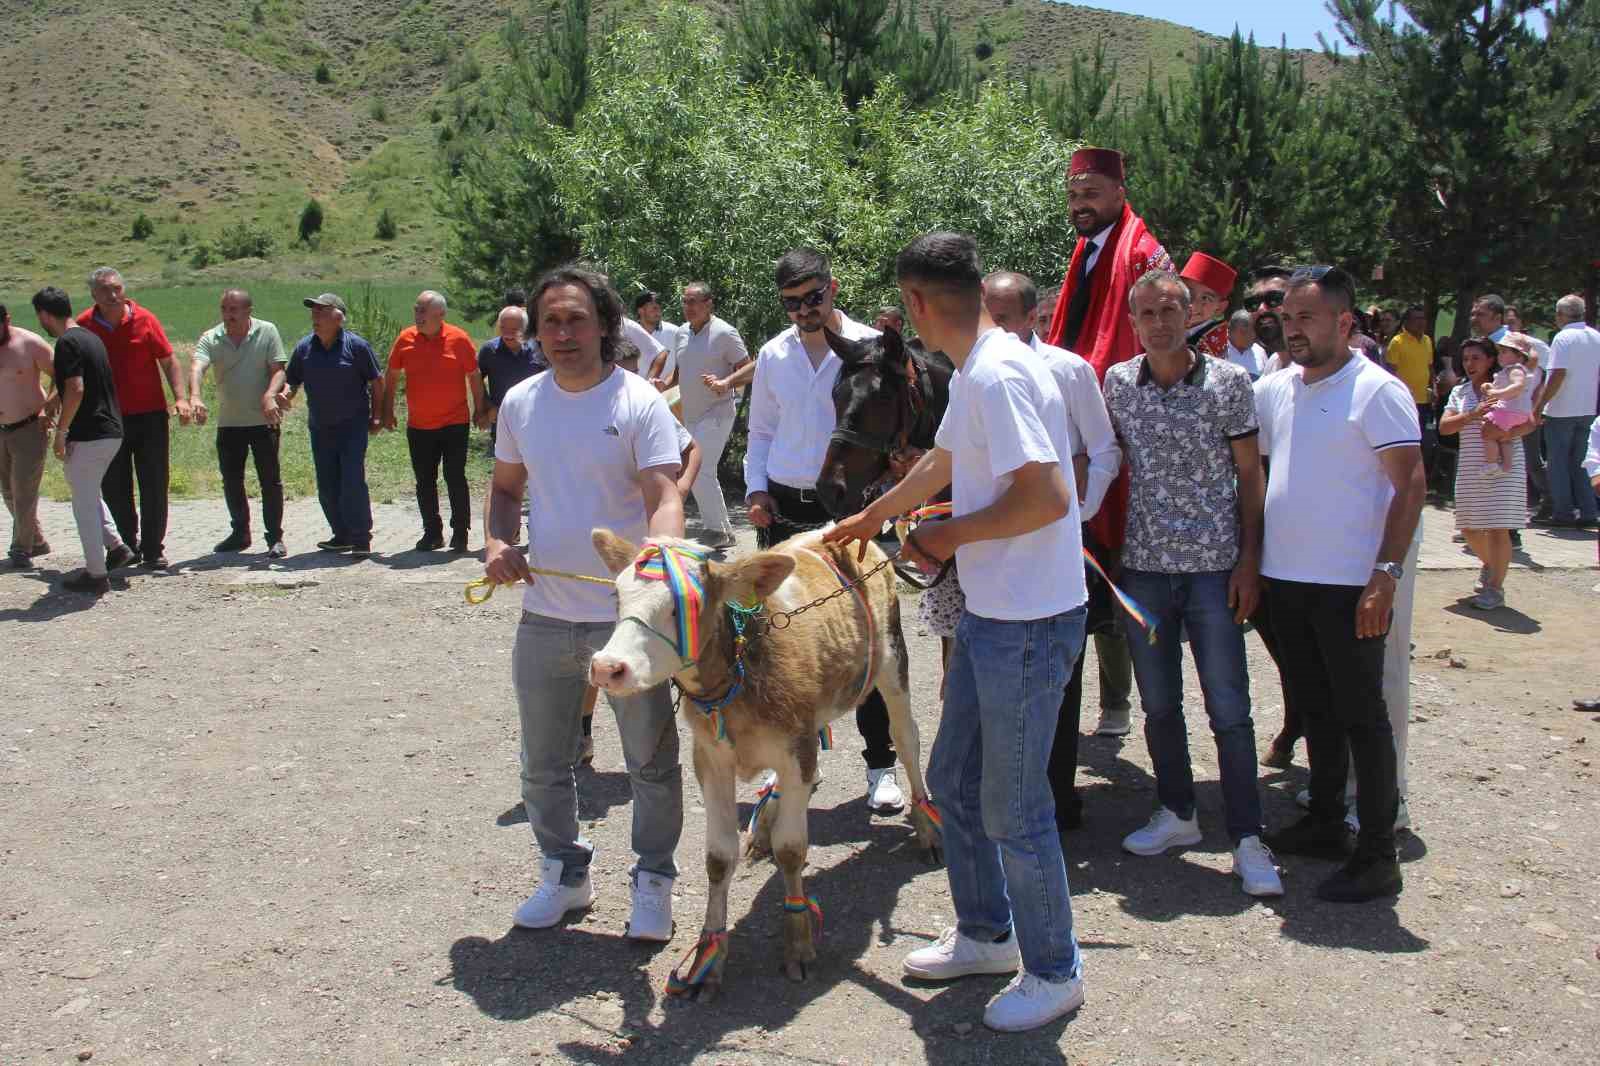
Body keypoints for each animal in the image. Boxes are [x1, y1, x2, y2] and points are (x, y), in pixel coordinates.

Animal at [588, 524, 934, 985]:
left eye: (685, 606)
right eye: (616, 596)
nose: (607, 668)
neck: (741, 669)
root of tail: (836, 530)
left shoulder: (794, 750)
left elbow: (792, 849)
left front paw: (798, 944)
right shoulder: (711, 759)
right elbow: (718, 858)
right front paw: (708, 956)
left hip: (893, 659)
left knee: (907, 738)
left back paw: (927, 827)